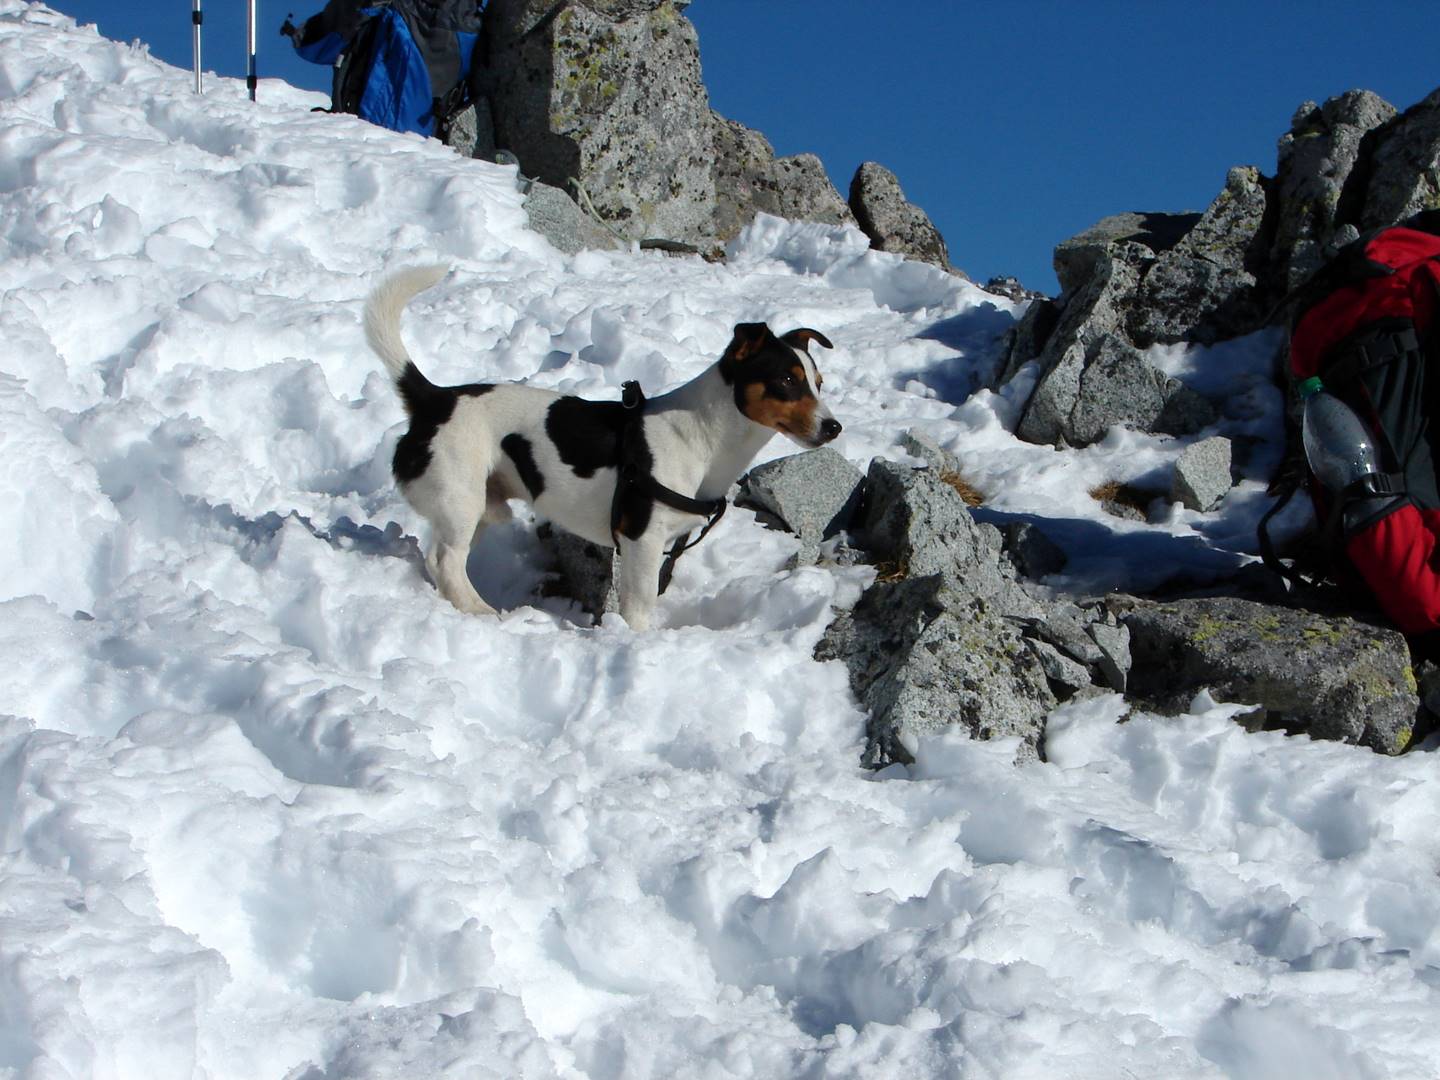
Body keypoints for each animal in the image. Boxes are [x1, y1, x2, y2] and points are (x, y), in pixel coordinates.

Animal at [362, 264, 840, 630]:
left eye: (818, 383)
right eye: (787, 380)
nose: (834, 427)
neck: (703, 436)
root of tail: (434, 399)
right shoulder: (641, 538)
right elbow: (640, 603)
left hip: (478, 505)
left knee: (439, 560)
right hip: (460, 496)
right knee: (447, 561)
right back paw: (480, 612)